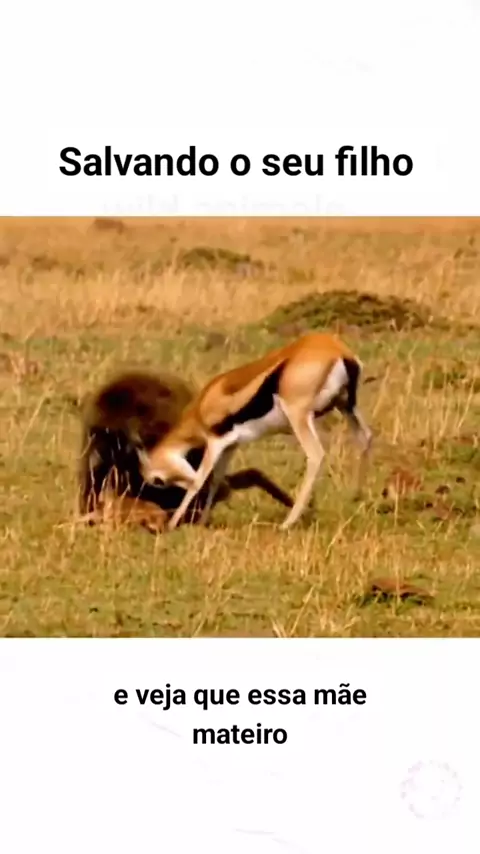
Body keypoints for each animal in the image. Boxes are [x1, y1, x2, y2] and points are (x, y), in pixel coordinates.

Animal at [141, 332, 373, 532]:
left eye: (157, 481)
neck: (203, 405)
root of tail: (339, 351)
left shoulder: (215, 442)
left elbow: (199, 480)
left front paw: (172, 524)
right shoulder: (230, 446)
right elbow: (216, 479)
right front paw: (202, 522)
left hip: (300, 416)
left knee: (316, 454)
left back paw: (287, 523)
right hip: (346, 406)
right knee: (366, 438)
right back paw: (356, 497)